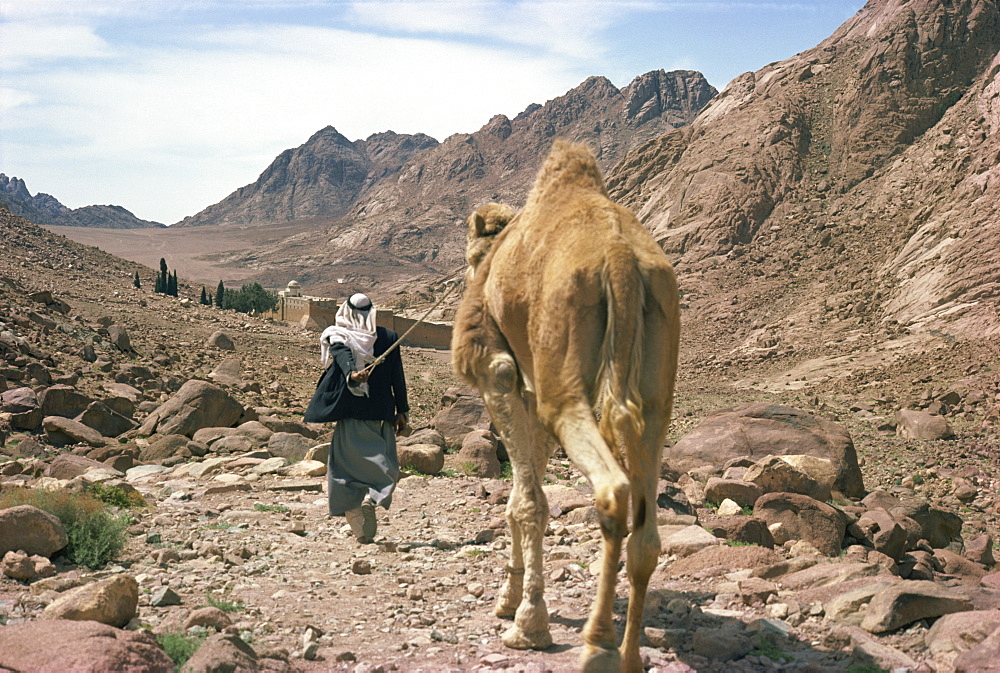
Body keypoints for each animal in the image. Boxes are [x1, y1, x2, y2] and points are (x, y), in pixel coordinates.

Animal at [452, 139, 680, 668]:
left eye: (472, 256)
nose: (472, 274)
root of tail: (619, 256)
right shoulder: (533, 391)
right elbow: (523, 493)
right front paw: (510, 599)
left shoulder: (498, 373)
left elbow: (527, 501)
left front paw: (526, 621)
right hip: (658, 382)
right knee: (647, 531)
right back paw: (630, 658)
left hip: (566, 380)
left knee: (613, 490)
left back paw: (596, 645)